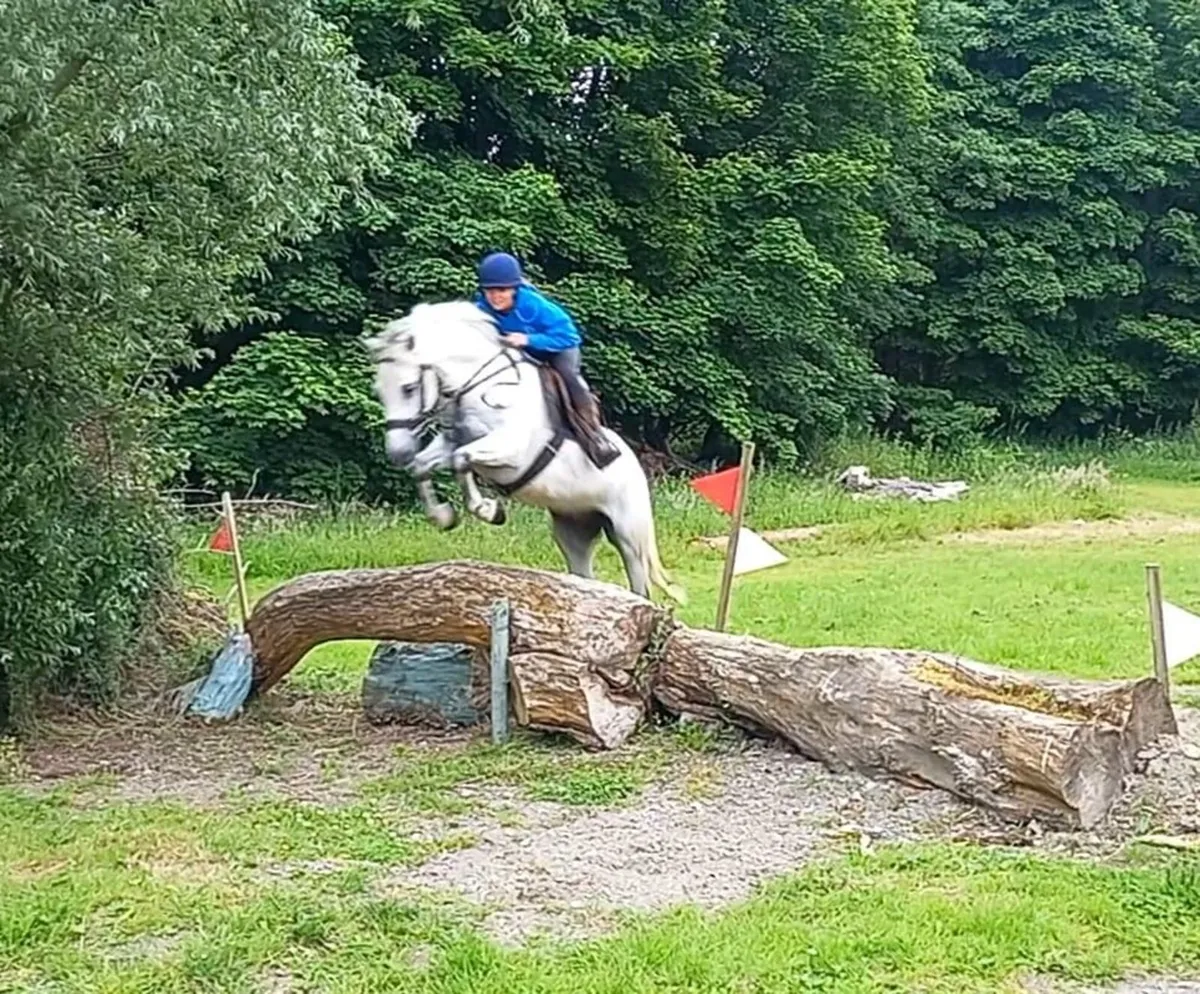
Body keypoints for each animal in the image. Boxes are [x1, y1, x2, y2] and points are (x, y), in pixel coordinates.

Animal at [364, 299, 685, 604]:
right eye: (379, 390)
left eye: (408, 388)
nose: (397, 452)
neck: (481, 386)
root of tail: (638, 468)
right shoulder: (451, 443)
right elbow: (425, 465)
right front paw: (443, 516)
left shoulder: (512, 450)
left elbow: (461, 460)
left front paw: (490, 511)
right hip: (573, 530)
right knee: (583, 571)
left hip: (628, 533)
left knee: (639, 582)